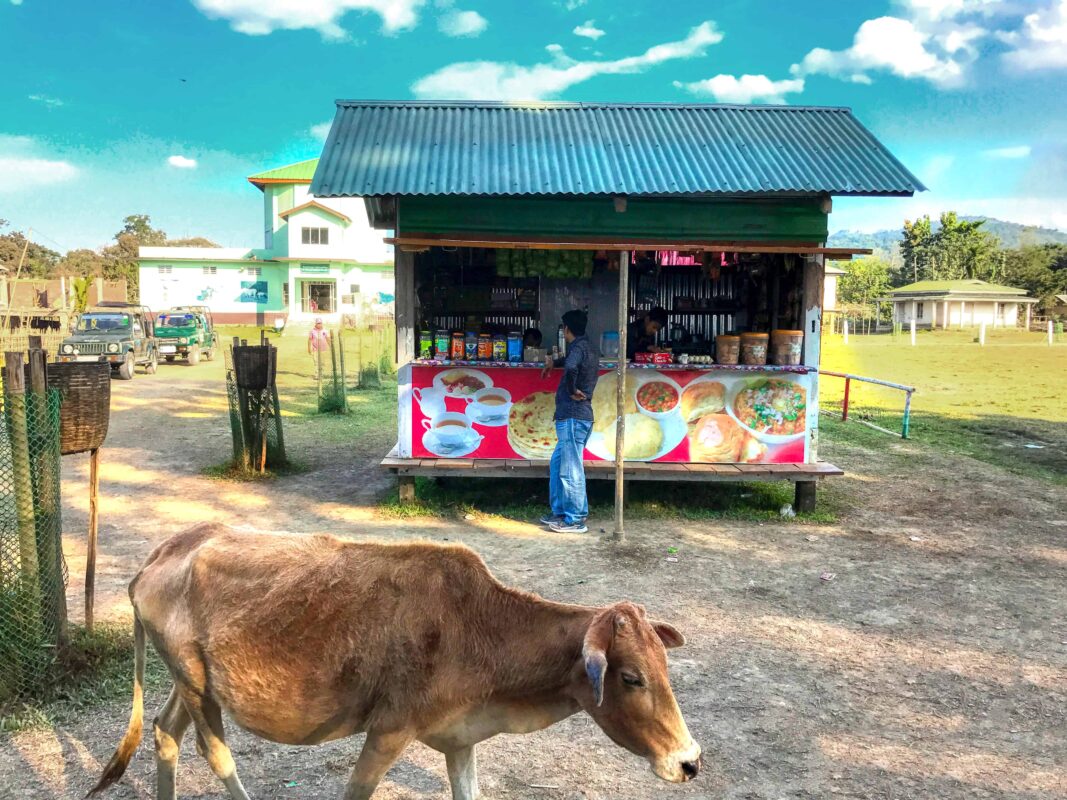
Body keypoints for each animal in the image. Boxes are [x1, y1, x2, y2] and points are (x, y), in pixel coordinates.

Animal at [85, 526, 699, 800]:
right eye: (631, 677)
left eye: (666, 672)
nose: (690, 762)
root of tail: (167, 550)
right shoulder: (388, 732)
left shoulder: (460, 739)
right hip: (194, 684)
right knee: (216, 755)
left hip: (190, 681)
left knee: (164, 732)